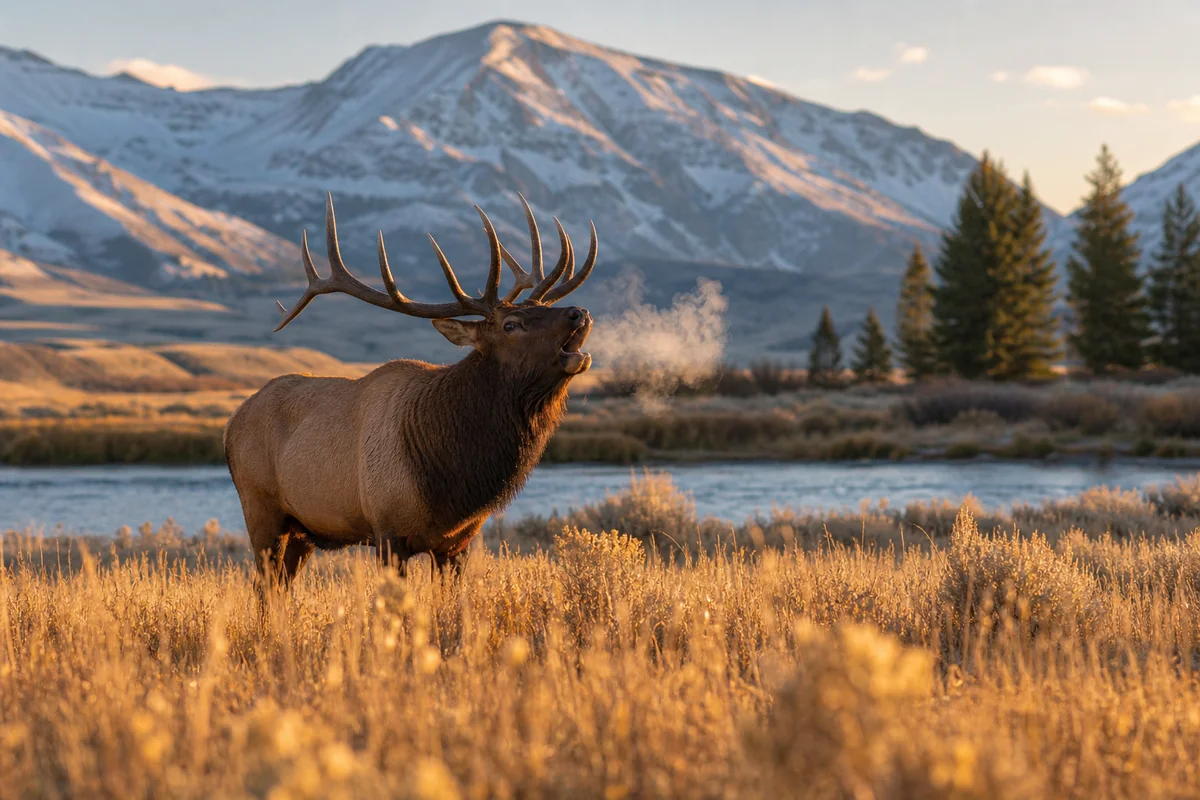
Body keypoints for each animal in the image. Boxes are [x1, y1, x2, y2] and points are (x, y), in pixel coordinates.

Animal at [223, 191, 597, 590]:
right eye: (511, 324)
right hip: (261, 510)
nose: (578, 312)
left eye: (542, 307)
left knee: (281, 587)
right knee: (263, 586)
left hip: (302, 530)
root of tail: (230, 425)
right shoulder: (388, 529)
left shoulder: (457, 542)